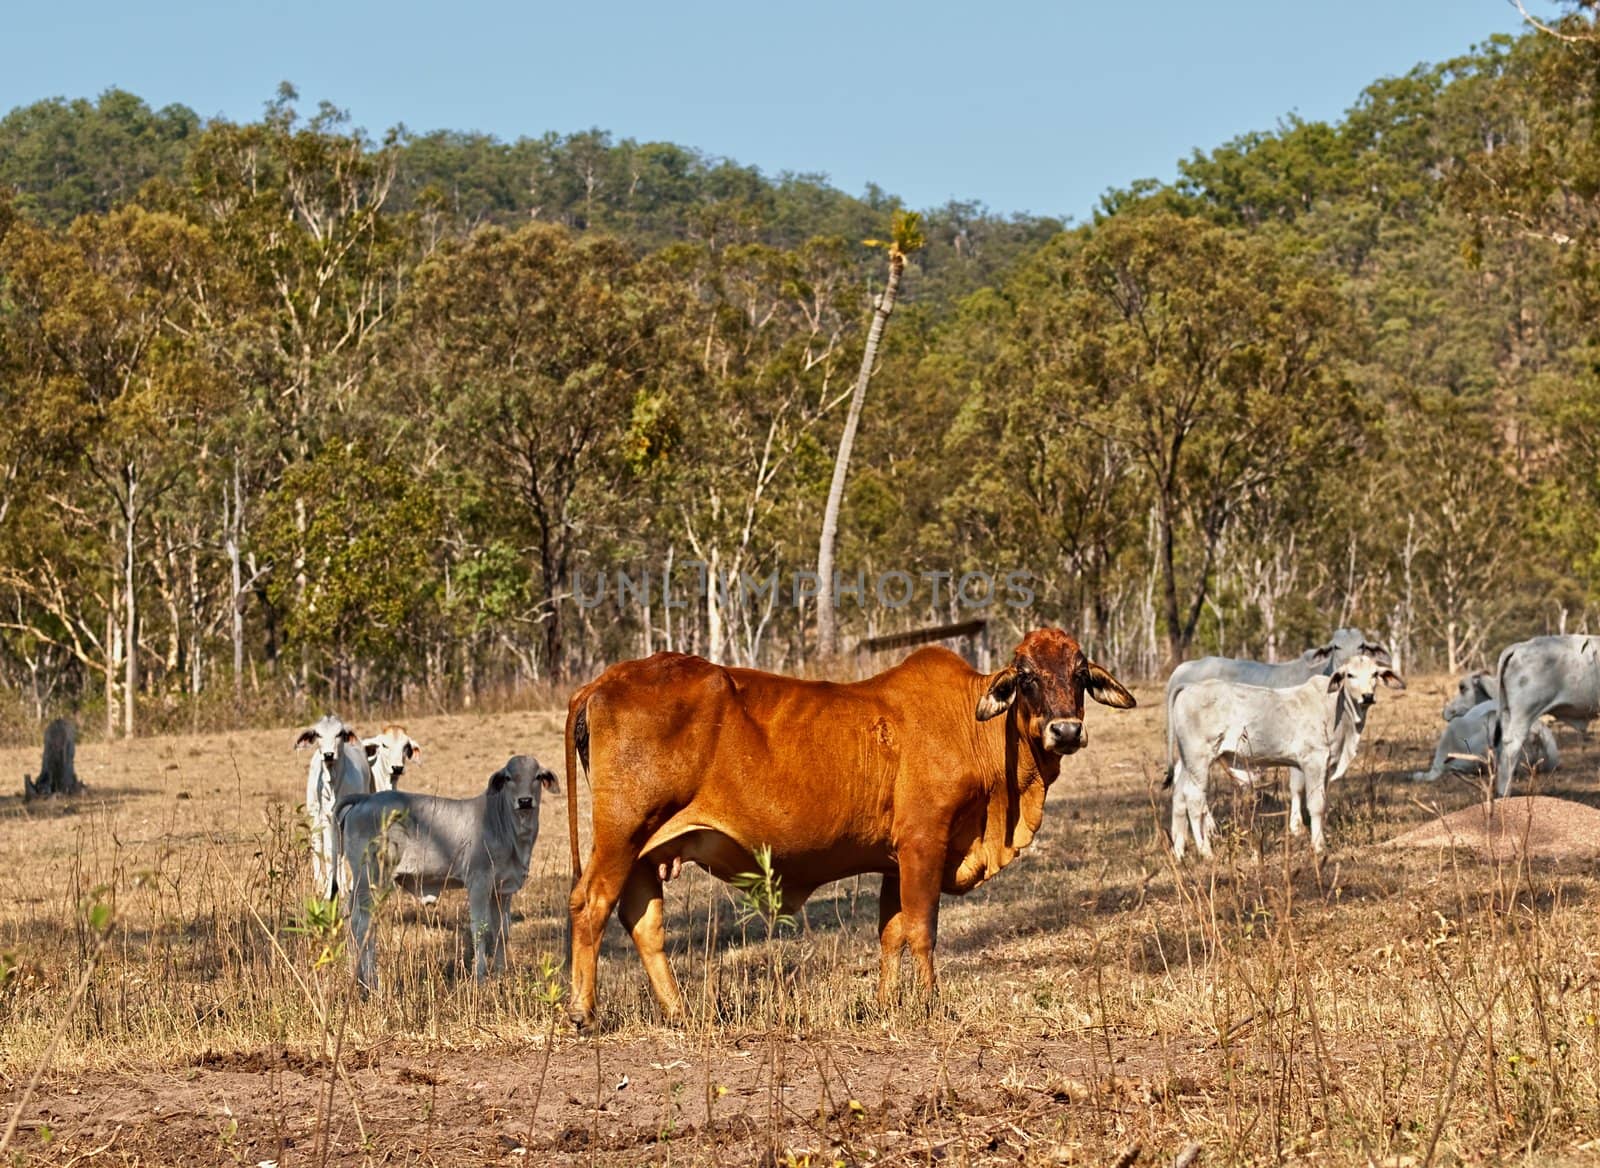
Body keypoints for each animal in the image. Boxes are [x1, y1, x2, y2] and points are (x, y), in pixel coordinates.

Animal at [297, 713, 377, 896]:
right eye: (318, 734)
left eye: (340, 733)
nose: (328, 754)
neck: (334, 784)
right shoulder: (326, 817)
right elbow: (329, 853)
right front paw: (330, 890)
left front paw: (347, 886)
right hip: (314, 814)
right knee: (319, 845)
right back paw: (321, 884)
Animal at [566, 627, 1139, 1030]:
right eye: (1026, 677)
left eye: (1080, 674)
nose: (1066, 731)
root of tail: (603, 681)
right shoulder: (924, 843)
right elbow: (923, 930)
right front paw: (931, 1005)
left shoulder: (894, 860)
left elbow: (891, 933)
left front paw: (887, 1004)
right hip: (621, 834)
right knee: (590, 905)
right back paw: (582, 1012)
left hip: (645, 849)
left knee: (644, 923)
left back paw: (679, 1012)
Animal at [1171, 649, 1408, 857]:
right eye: (1350, 675)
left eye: (1375, 674)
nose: (1367, 696)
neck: (1338, 710)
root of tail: (1188, 688)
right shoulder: (1313, 762)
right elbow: (1316, 805)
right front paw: (1318, 845)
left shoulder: (1326, 766)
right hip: (1199, 760)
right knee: (1193, 800)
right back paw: (1205, 851)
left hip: (1187, 762)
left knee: (1179, 796)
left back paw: (1180, 851)